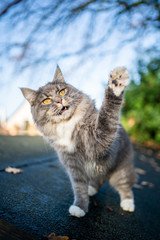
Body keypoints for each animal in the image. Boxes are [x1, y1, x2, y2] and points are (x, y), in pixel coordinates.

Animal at [21, 65, 136, 218]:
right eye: (46, 100)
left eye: (62, 91)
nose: (59, 100)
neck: (67, 124)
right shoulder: (73, 165)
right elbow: (79, 188)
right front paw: (80, 207)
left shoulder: (99, 140)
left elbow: (107, 116)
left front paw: (116, 83)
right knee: (98, 180)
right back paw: (91, 190)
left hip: (121, 169)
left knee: (125, 186)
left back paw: (128, 204)